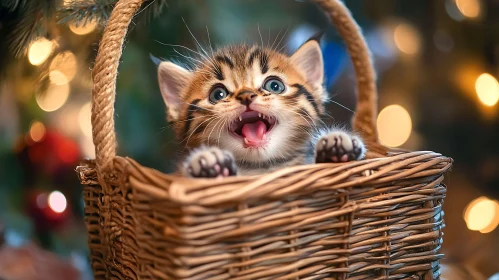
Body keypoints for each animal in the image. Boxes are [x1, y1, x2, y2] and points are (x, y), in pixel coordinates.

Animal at [158, 38, 366, 177]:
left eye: (274, 85)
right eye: (218, 94)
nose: (246, 95)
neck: (261, 169)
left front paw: (336, 149)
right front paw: (210, 164)